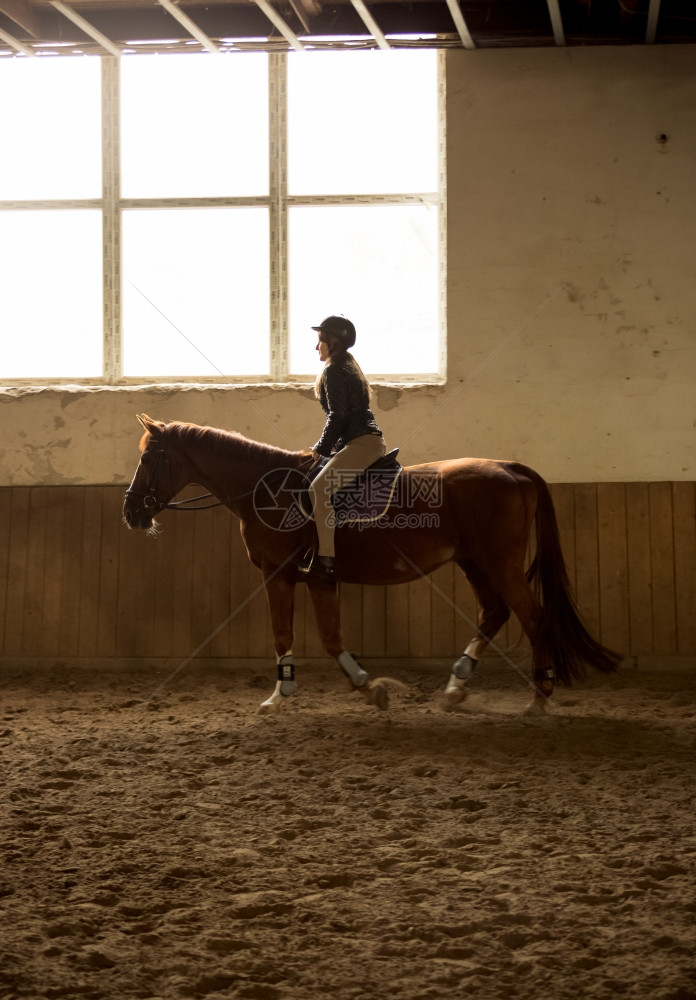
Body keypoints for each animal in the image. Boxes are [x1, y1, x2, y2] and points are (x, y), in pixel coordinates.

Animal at [121, 412, 620, 712]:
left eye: (149, 457)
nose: (131, 512)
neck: (266, 488)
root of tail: (509, 467)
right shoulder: (319, 579)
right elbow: (329, 637)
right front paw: (368, 687)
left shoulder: (279, 574)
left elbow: (285, 633)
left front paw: (279, 697)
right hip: (473, 562)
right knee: (494, 611)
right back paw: (456, 687)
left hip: (500, 562)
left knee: (532, 617)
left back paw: (538, 696)